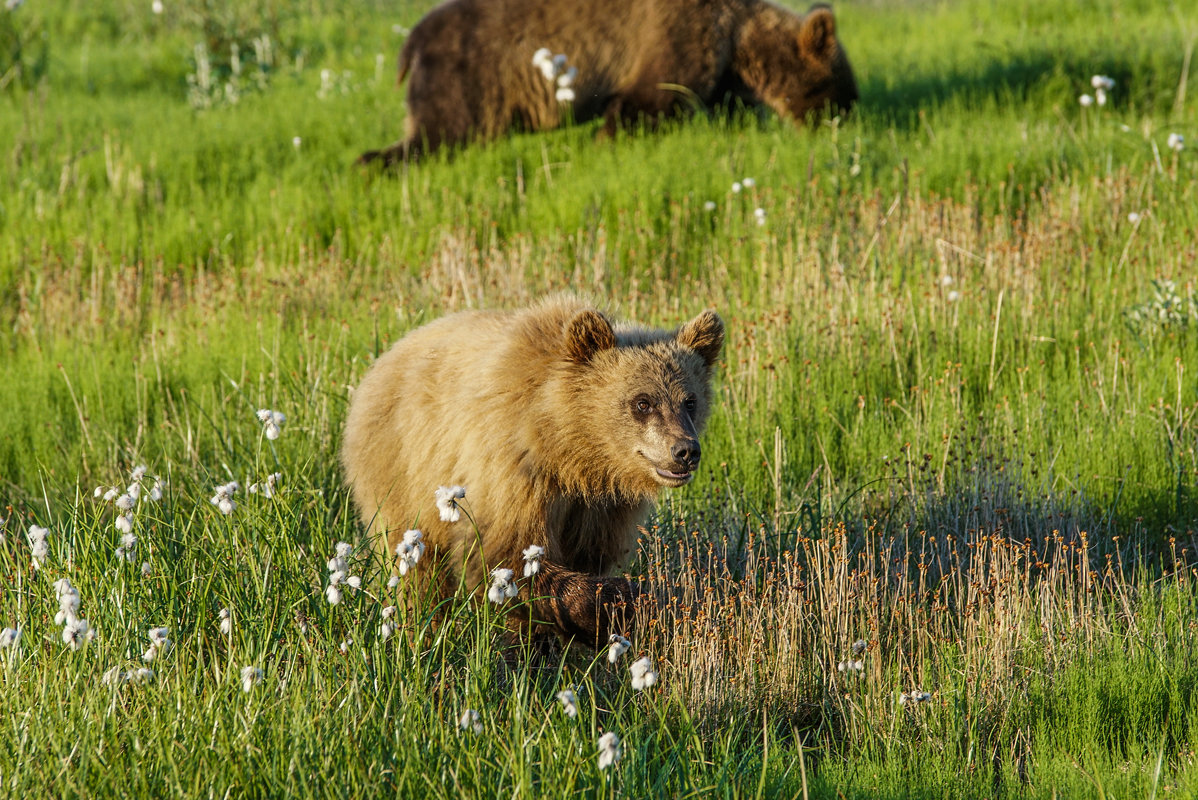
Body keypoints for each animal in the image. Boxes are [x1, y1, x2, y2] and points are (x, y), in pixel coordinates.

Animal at [342, 298, 723, 641]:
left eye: (689, 400)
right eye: (643, 402)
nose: (685, 451)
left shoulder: (602, 507)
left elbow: (586, 555)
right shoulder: (514, 470)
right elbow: (509, 555)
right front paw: (620, 600)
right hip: (403, 472)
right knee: (416, 569)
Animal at [359, 0, 857, 164]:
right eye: (840, 90)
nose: (849, 118)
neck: (736, 38)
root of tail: (411, 40)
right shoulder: (676, 32)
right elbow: (649, 98)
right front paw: (607, 139)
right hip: (467, 79)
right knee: (441, 133)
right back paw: (373, 162)